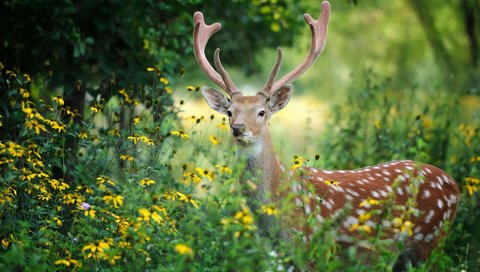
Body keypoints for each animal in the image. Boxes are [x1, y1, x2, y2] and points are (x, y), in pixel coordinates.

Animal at [192, 1, 462, 270]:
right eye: (229, 111)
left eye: (261, 112)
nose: (238, 128)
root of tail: (455, 185)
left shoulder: (310, 250)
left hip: (431, 242)